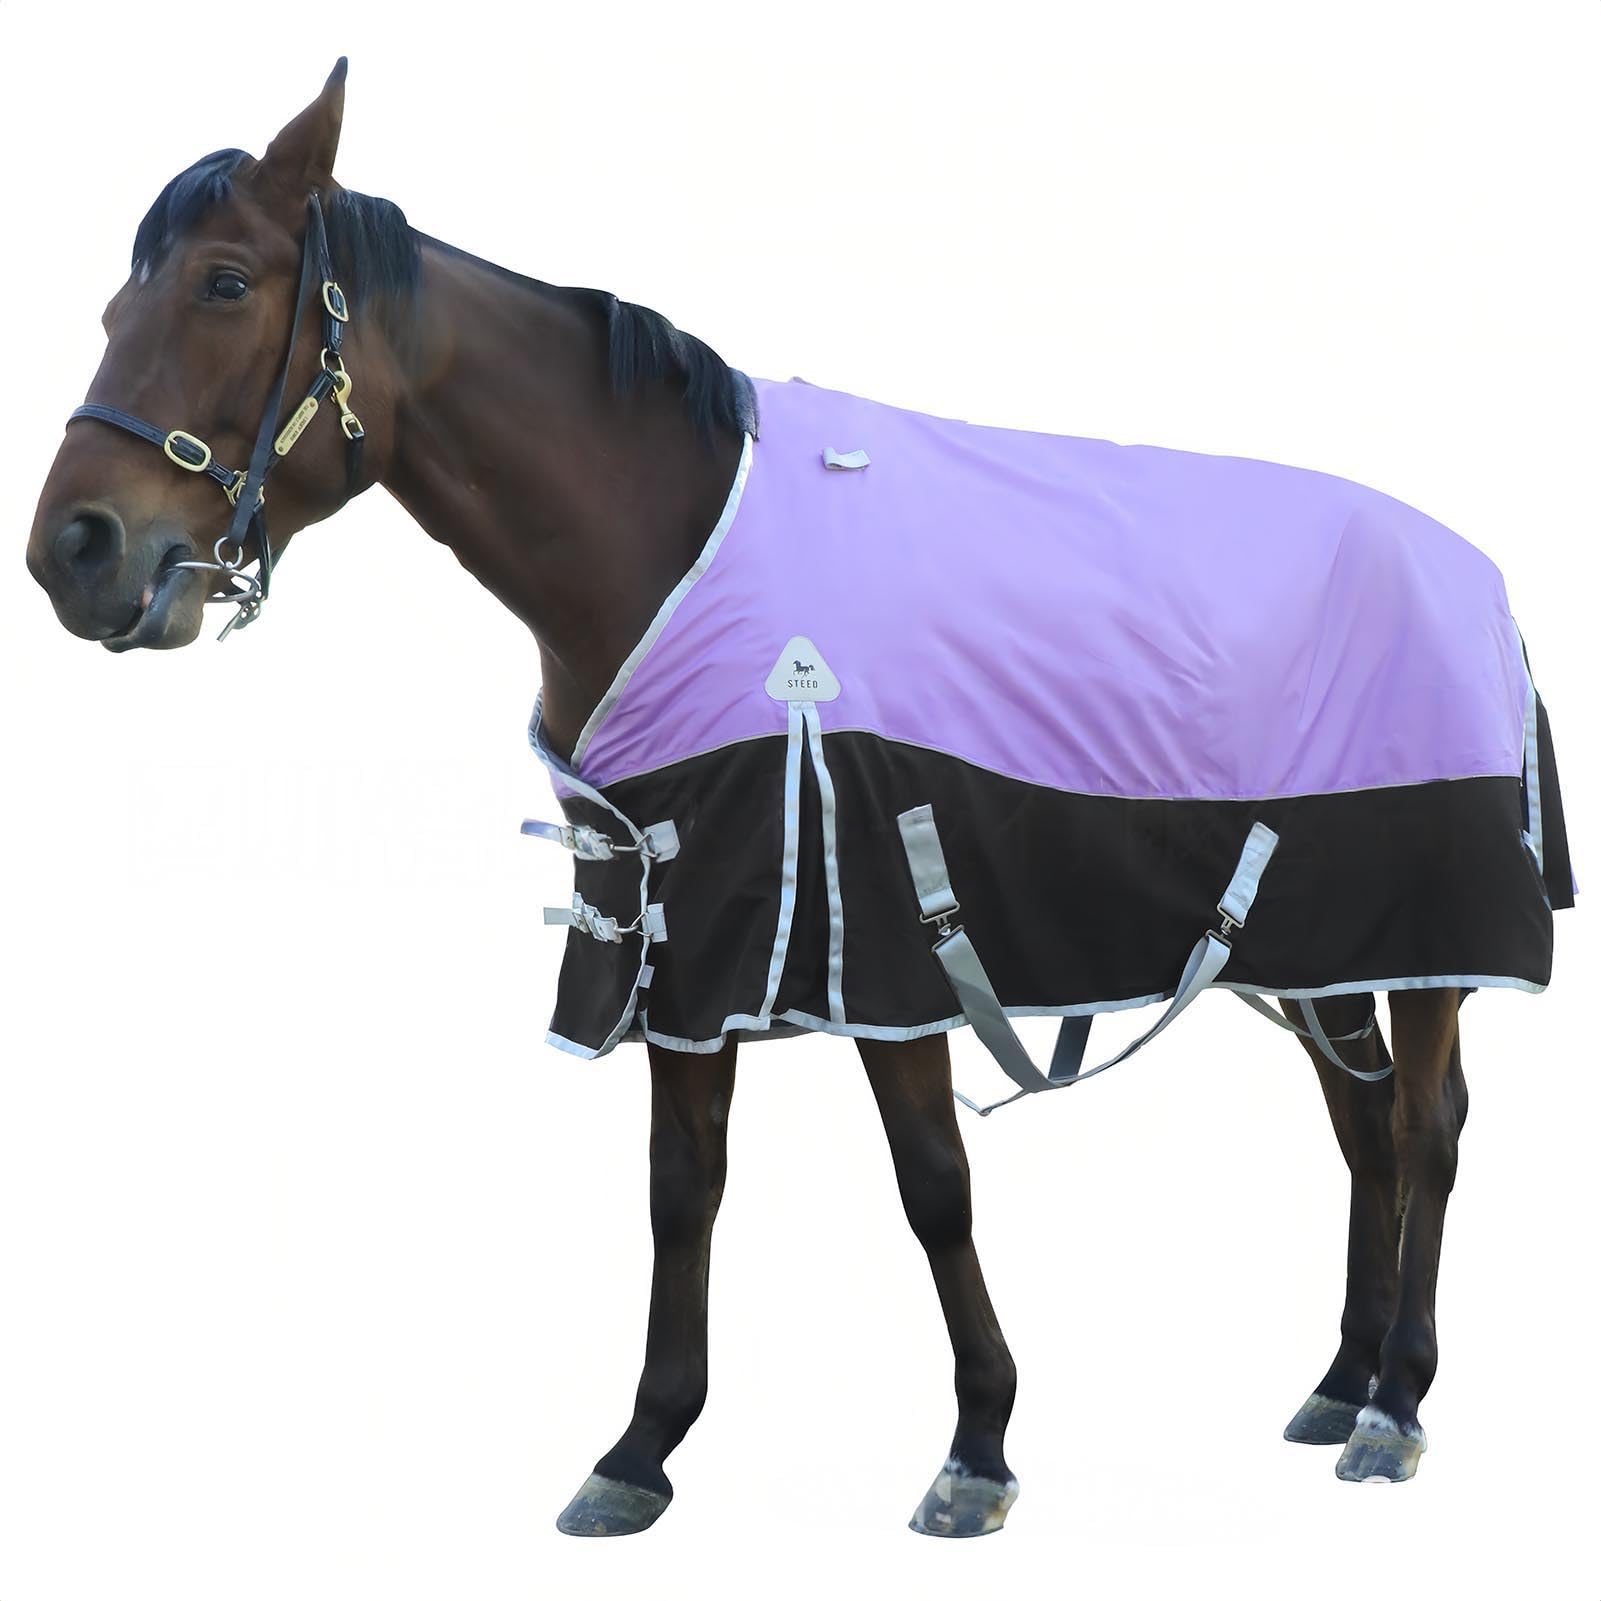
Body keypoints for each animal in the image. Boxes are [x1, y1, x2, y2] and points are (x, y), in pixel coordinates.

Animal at [25, 61, 1569, 1538]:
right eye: (111, 301)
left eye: (226, 284)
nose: (73, 554)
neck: (673, 546)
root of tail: (1476, 577)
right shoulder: (678, 932)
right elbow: (680, 1185)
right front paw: (638, 1451)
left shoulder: (887, 935)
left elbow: (933, 1184)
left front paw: (977, 1446)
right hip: (1320, 946)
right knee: (1359, 1128)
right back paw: (1338, 1383)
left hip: (1425, 934)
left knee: (1422, 1131)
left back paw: (1395, 1406)